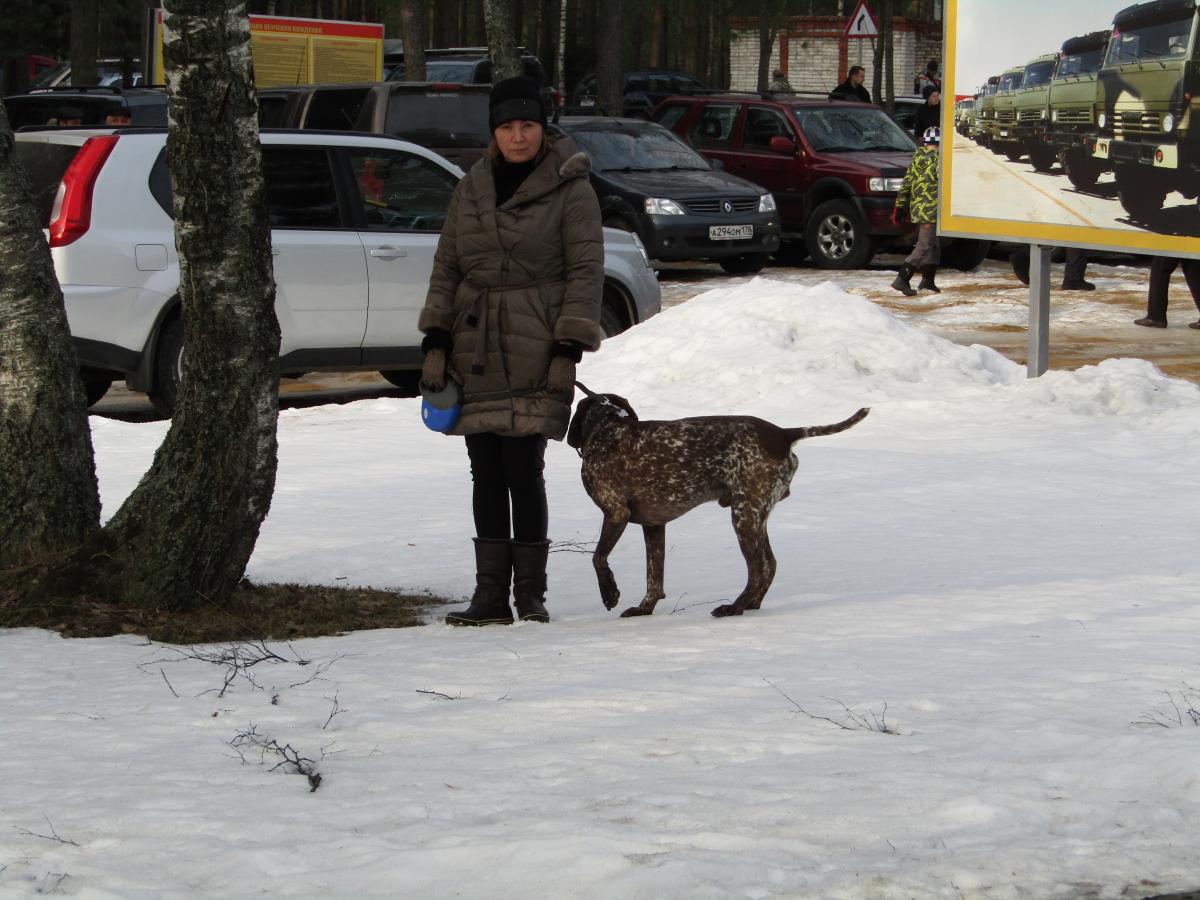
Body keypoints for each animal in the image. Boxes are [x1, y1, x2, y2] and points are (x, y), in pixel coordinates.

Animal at [566, 393, 869, 618]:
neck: (607, 427)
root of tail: (783, 434)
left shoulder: (616, 512)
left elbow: (598, 558)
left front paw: (609, 593)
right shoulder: (654, 525)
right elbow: (654, 578)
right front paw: (644, 609)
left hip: (743, 516)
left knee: (758, 569)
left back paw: (734, 607)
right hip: (755, 516)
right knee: (770, 565)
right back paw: (750, 604)